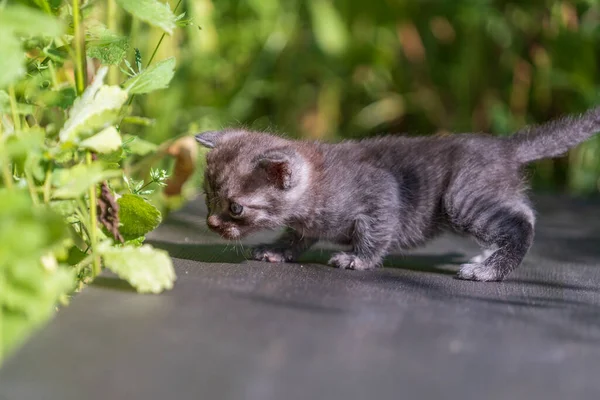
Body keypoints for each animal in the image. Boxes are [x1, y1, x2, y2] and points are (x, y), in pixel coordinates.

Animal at [196, 106, 600, 282]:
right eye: (207, 197)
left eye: (235, 207)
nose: (211, 223)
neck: (318, 184)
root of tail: (504, 147)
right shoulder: (305, 224)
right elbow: (297, 236)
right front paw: (278, 250)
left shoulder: (380, 195)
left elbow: (374, 234)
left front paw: (357, 259)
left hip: (461, 199)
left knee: (523, 222)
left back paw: (488, 269)